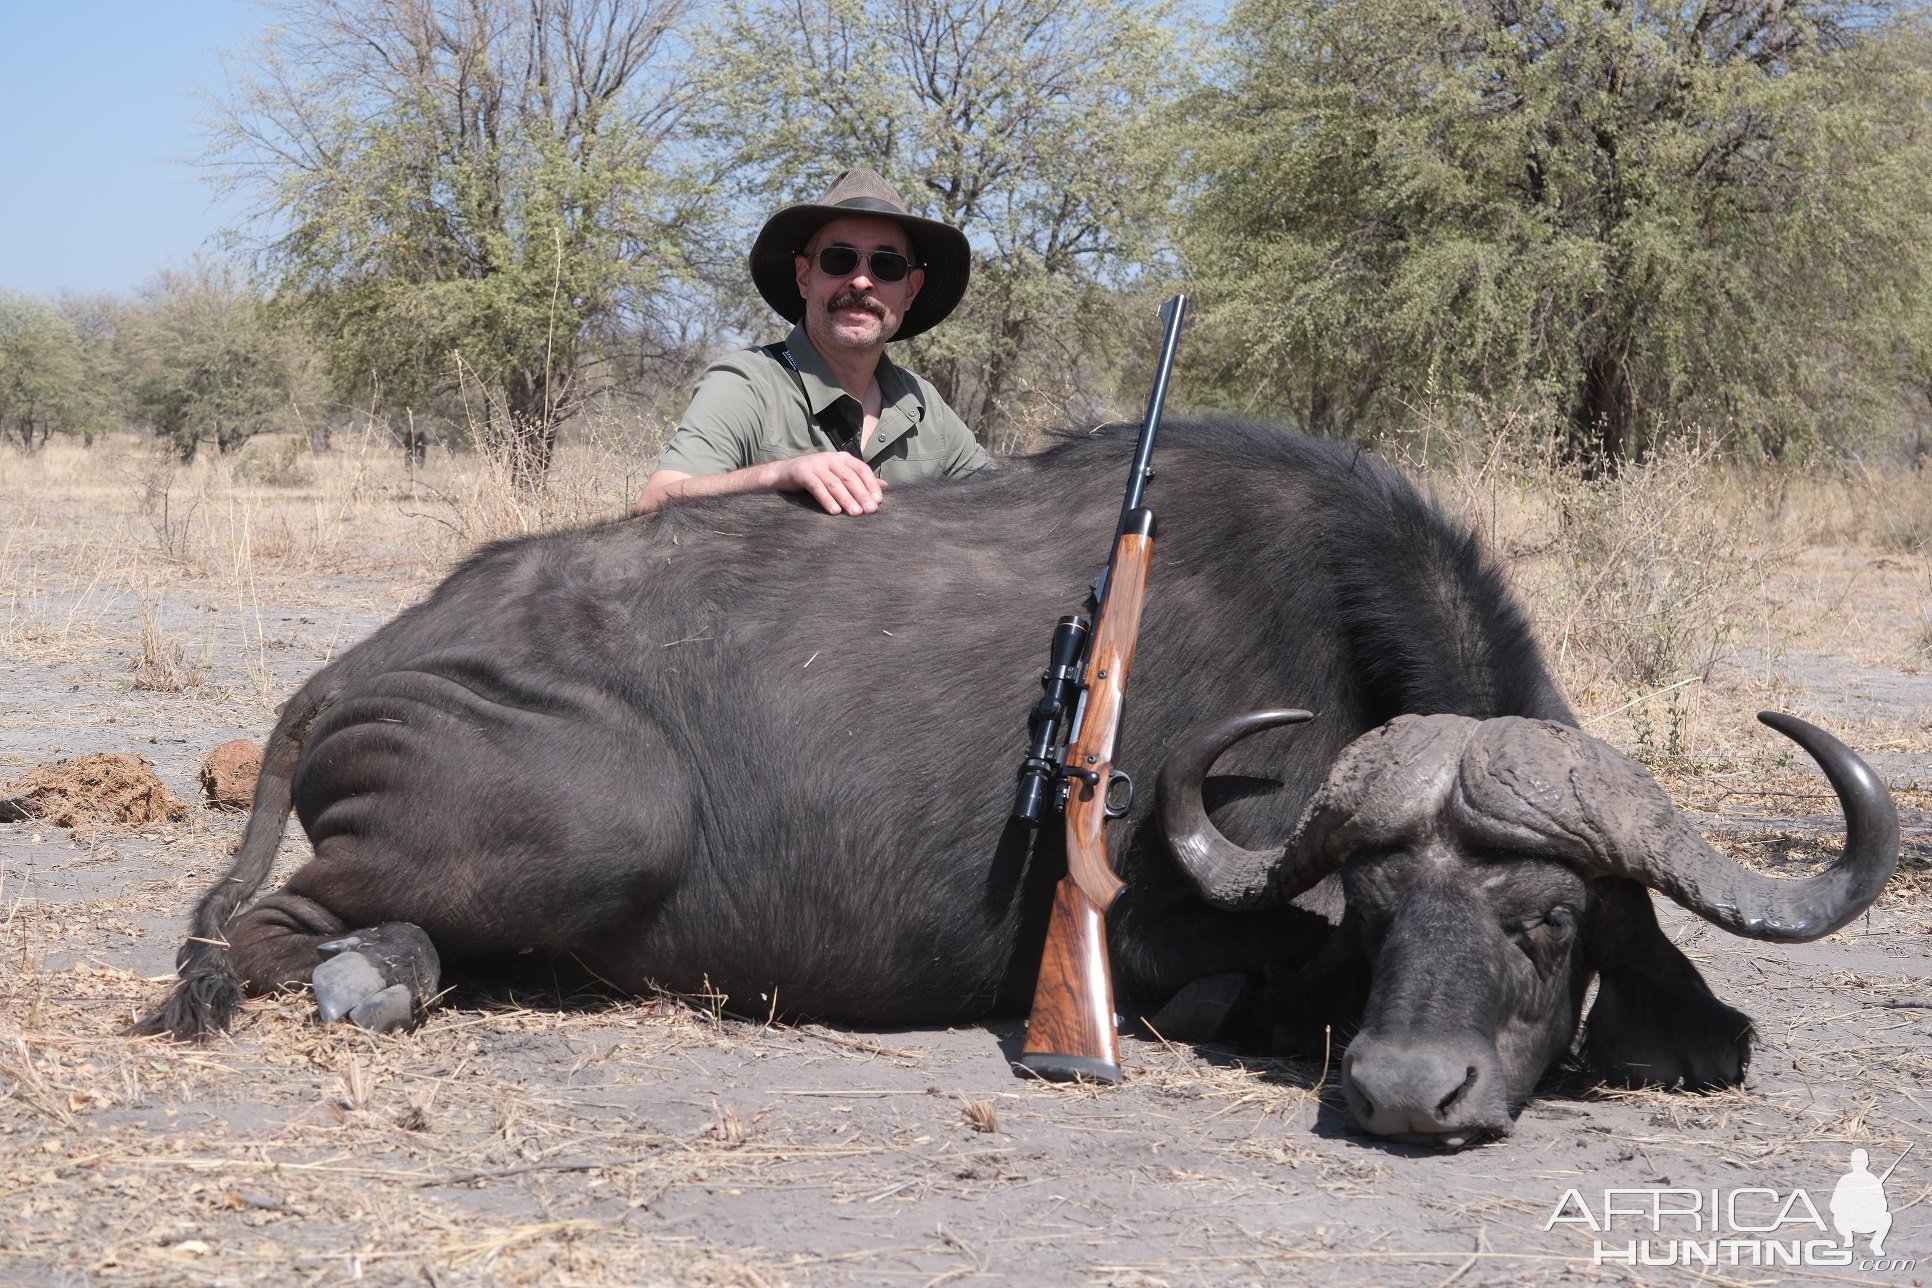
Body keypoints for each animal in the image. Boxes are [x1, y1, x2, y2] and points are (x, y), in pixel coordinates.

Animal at [140, 420, 1901, 1150]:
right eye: (1391, 903)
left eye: (1546, 919)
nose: (1411, 1095)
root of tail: (362, 665)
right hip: (597, 826)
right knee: (271, 931)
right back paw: (375, 975)